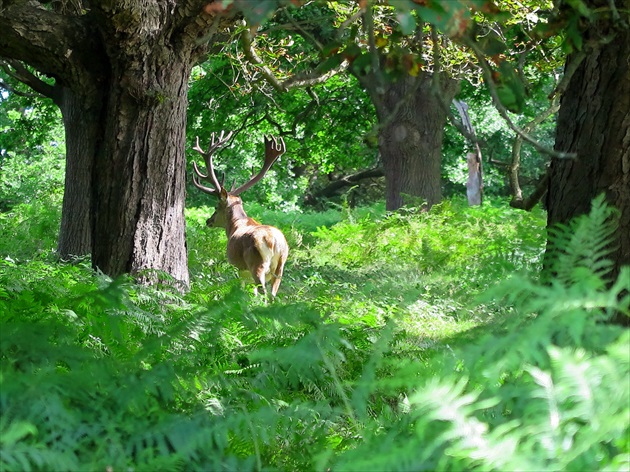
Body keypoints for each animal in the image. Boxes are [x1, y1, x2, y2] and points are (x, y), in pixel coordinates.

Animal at [193, 130, 292, 298]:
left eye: (216, 207)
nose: (208, 221)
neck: (235, 225)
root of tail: (275, 242)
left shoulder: (239, 268)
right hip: (280, 267)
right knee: (273, 294)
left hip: (256, 264)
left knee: (263, 292)